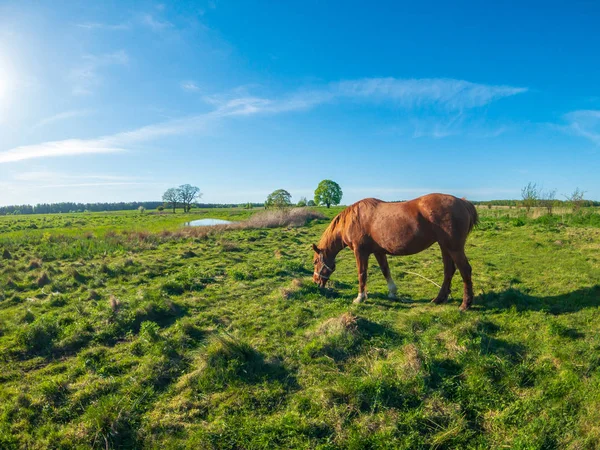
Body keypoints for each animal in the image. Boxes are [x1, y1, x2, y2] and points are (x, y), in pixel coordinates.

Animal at [314, 193, 478, 310]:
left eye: (315, 261)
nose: (316, 282)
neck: (353, 219)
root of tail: (462, 202)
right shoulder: (379, 252)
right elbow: (385, 270)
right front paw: (392, 292)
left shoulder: (360, 252)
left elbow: (362, 274)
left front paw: (360, 298)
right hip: (444, 247)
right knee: (449, 270)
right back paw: (439, 299)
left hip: (454, 248)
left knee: (465, 270)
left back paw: (465, 304)